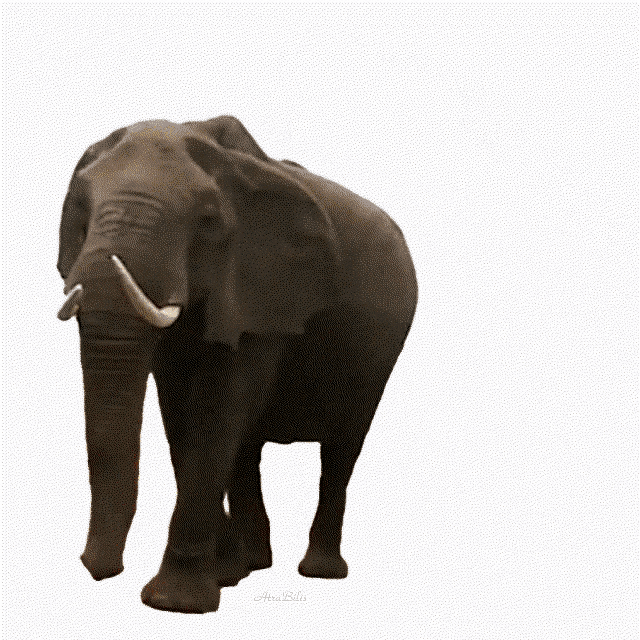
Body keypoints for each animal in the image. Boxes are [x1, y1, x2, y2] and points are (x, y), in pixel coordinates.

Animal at [56, 116, 417, 613]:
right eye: (80, 209)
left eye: (208, 221)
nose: (97, 569)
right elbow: (181, 415)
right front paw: (222, 576)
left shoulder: (262, 288)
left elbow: (216, 410)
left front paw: (175, 603)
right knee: (248, 449)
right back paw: (251, 566)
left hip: (378, 351)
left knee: (342, 447)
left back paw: (318, 572)